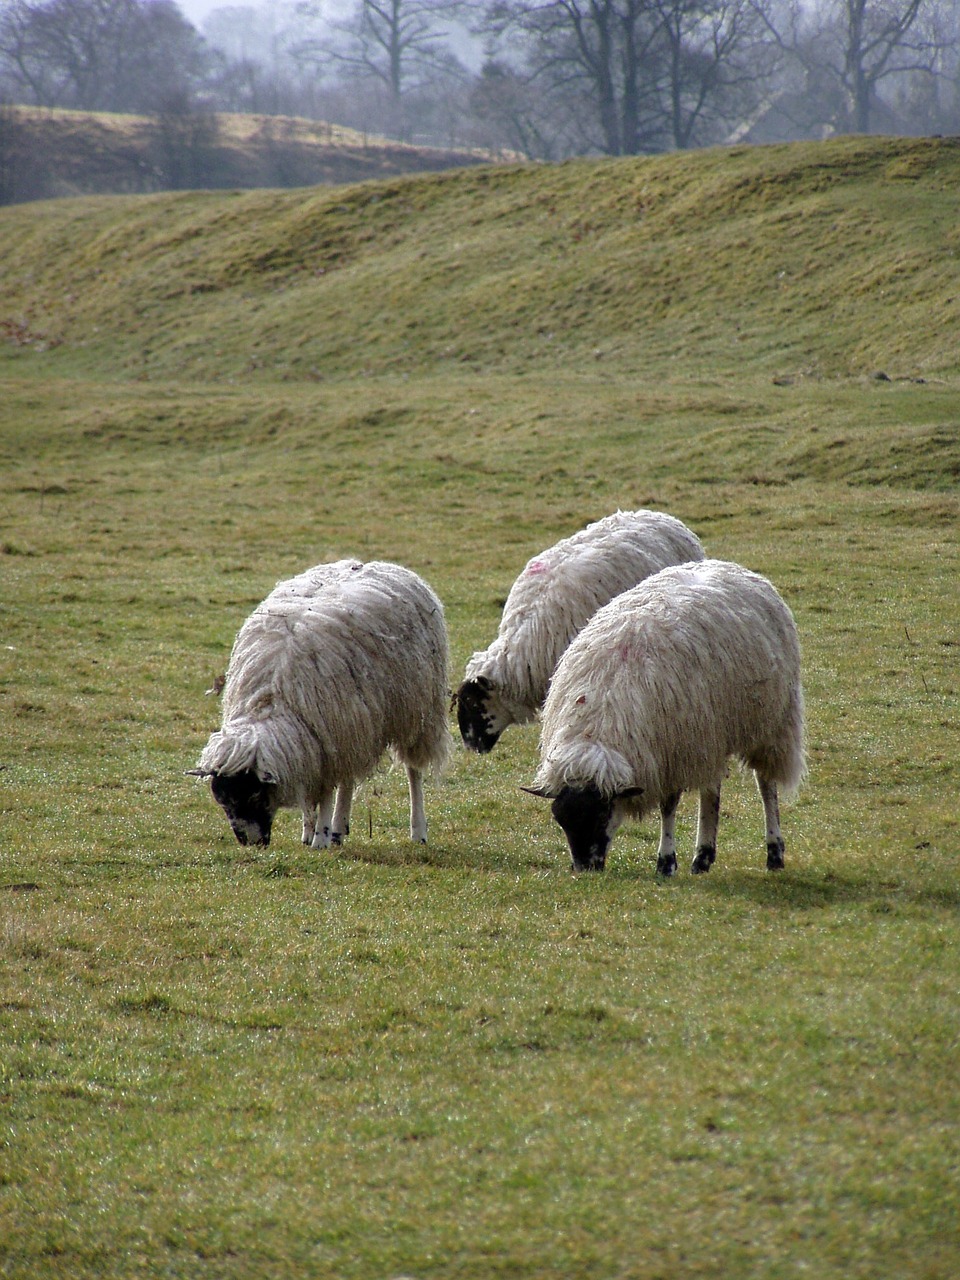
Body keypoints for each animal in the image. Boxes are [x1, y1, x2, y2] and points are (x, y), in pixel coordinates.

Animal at [193, 560, 458, 849]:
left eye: (254, 795)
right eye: (222, 800)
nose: (250, 843)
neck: (269, 701)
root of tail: (381, 564)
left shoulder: (325, 741)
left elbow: (325, 793)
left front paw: (320, 836)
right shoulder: (316, 743)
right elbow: (315, 793)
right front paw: (311, 831)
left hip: (417, 711)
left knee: (413, 772)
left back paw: (417, 830)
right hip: (353, 724)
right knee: (348, 778)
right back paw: (339, 829)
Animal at [522, 563, 808, 875]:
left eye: (602, 815)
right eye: (560, 820)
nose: (585, 868)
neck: (596, 727)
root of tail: (729, 565)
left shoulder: (672, 755)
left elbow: (668, 806)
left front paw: (666, 861)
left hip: (770, 722)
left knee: (766, 785)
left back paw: (774, 852)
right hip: (710, 731)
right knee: (711, 789)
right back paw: (703, 856)